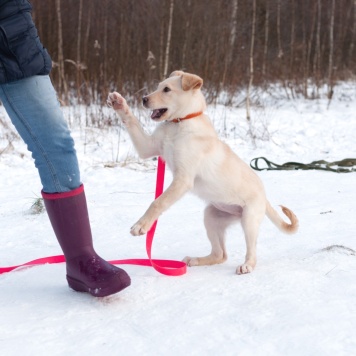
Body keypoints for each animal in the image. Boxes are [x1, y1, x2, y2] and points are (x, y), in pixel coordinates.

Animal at [108, 71, 298, 274]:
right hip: (212, 217)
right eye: (158, 86)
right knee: (220, 254)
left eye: (166, 89)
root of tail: (264, 196)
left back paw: (246, 265)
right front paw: (119, 103)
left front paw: (141, 225)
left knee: (251, 250)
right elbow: (132, 122)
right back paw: (196, 260)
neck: (179, 123)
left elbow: (158, 202)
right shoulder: (148, 148)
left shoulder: (183, 179)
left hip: (249, 219)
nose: (144, 99)